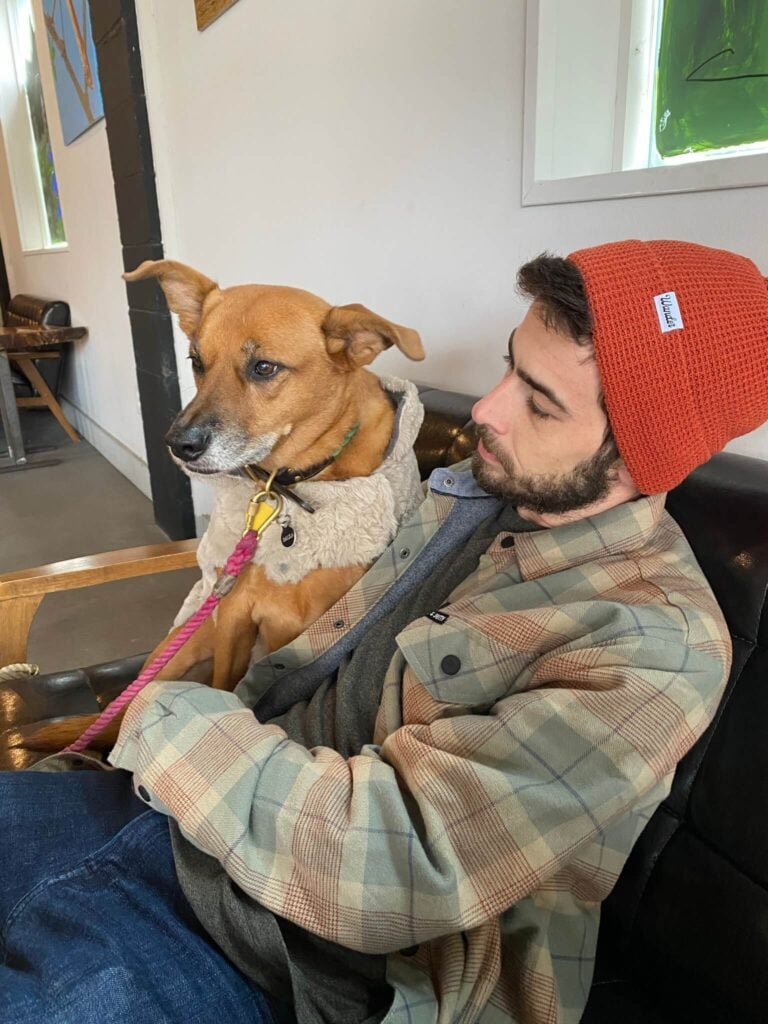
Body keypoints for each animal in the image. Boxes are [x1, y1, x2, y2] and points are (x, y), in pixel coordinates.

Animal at [22, 256, 428, 753]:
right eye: (196, 362)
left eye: (264, 367)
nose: (177, 445)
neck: (287, 490)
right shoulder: (234, 615)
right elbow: (221, 685)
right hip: (178, 650)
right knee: (123, 707)